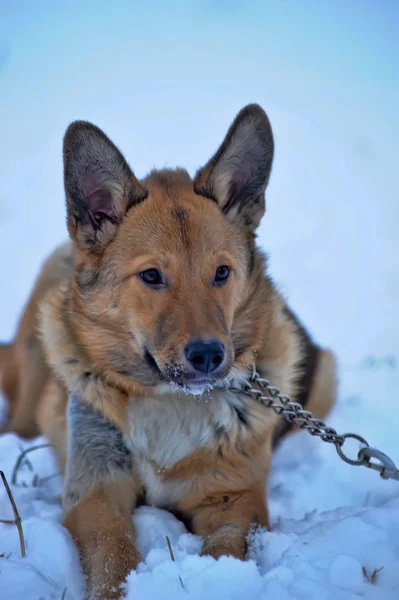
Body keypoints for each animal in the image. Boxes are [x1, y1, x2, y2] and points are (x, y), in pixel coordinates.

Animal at [0, 104, 338, 600]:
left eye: (222, 273)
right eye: (152, 276)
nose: (209, 356)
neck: (170, 402)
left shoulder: (236, 498)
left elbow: (224, 552)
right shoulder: (97, 490)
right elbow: (113, 553)